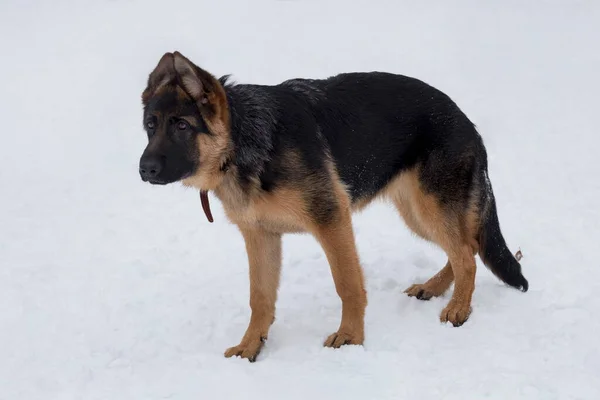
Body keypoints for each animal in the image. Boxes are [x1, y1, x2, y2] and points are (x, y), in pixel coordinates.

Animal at [138, 51, 528, 360]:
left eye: (182, 126)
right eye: (150, 125)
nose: (144, 170)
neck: (243, 142)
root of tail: (464, 119)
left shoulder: (331, 221)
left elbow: (347, 283)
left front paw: (351, 337)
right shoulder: (261, 236)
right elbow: (260, 297)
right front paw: (251, 346)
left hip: (429, 206)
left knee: (465, 253)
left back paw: (459, 308)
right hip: (417, 213)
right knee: (467, 247)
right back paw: (435, 289)